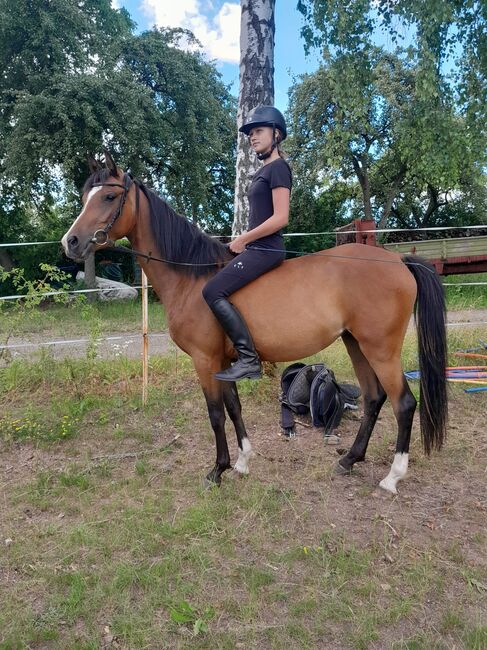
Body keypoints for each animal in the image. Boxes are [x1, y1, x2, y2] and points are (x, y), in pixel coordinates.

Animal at [62, 153, 448, 494]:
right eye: (85, 196)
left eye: (109, 196)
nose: (71, 242)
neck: (191, 277)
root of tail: (397, 261)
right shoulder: (223, 363)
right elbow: (233, 408)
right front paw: (242, 462)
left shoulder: (204, 360)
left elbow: (215, 414)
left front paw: (217, 470)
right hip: (356, 343)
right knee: (374, 398)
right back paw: (349, 460)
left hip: (381, 349)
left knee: (403, 404)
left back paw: (392, 478)